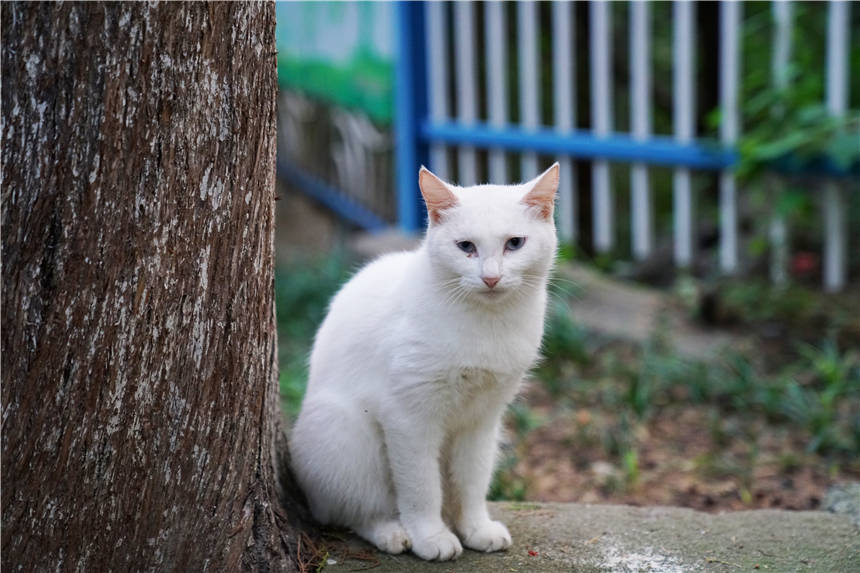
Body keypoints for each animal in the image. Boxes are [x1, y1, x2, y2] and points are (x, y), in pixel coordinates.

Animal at [288, 161, 556, 560]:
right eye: (466, 247)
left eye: (515, 244)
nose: (490, 278)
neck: (486, 324)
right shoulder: (409, 420)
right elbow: (421, 489)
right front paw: (431, 537)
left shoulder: (481, 421)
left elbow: (472, 483)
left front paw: (475, 529)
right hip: (346, 435)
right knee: (351, 512)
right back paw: (393, 533)